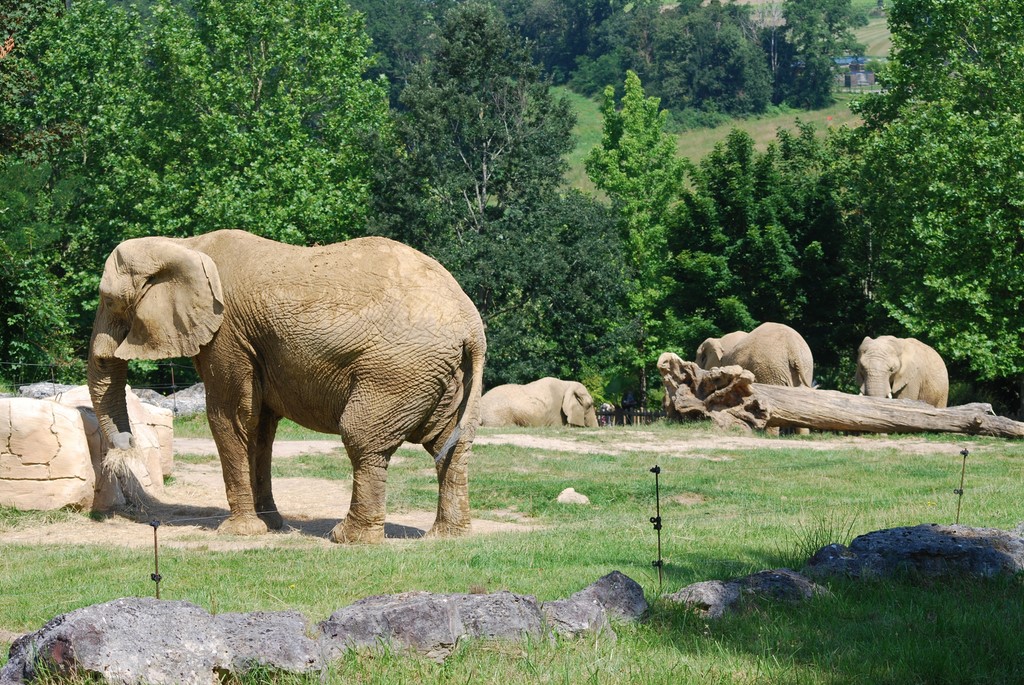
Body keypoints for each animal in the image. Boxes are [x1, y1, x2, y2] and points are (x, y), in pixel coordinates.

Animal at [88, 229, 486, 544]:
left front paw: (239, 533)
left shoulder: (227, 334)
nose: (128, 445)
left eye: (109, 300)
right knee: (449, 443)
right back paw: (447, 537)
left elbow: (229, 416)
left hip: (396, 370)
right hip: (447, 375)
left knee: (362, 438)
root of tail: (472, 325)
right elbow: (260, 426)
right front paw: (270, 525)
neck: (183, 244)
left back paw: (348, 538)